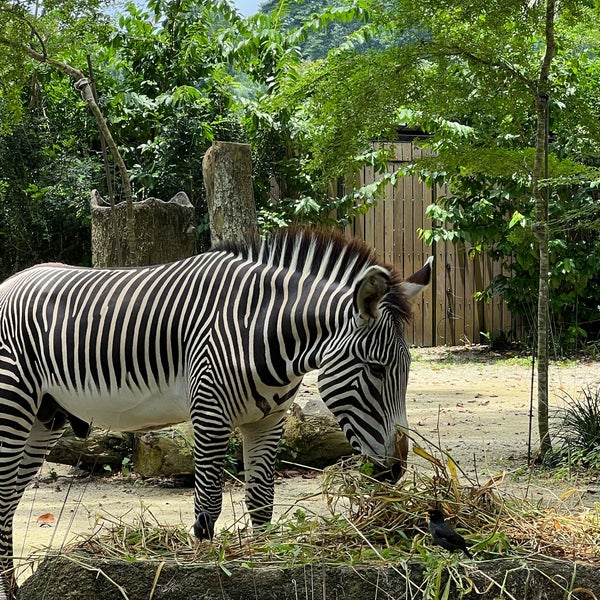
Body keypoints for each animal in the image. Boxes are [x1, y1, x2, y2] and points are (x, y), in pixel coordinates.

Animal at [0, 229, 432, 596]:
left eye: (408, 368)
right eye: (377, 370)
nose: (396, 469)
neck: (260, 329)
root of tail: (10, 280)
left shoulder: (268, 421)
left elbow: (261, 501)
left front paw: (264, 564)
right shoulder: (210, 414)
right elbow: (207, 508)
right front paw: (206, 576)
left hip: (44, 417)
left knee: (8, 502)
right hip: (12, 405)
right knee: (4, 498)